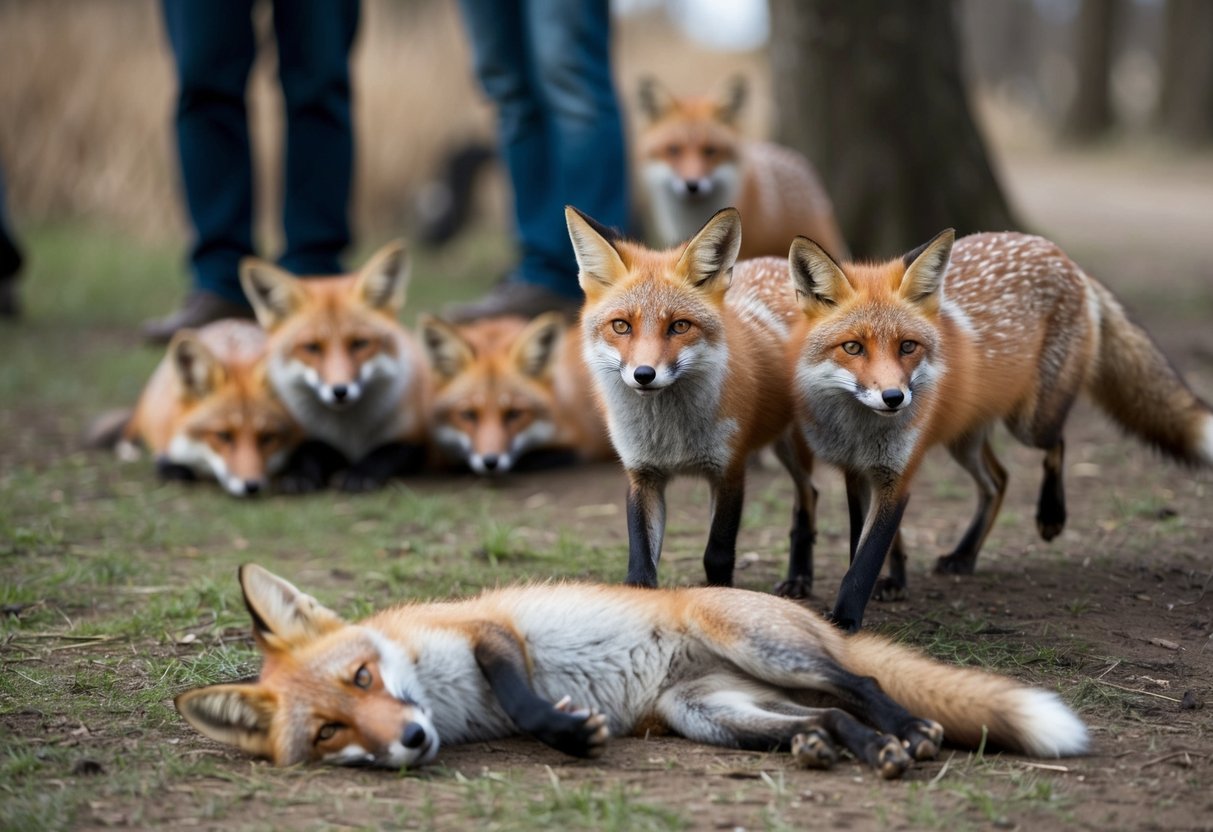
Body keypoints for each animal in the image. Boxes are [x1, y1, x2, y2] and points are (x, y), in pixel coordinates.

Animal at [239, 241, 430, 492]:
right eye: (312, 347)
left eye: (360, 343)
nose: (340, 391)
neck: (350, 435)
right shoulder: (303, 435)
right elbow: (311, 450)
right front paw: (301, 475)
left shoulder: (416, 439)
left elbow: (386, 452)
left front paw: (360, 473)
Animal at [567, 205, 817, 596]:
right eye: (621, 326)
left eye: (679, 326)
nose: (644, 374)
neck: (672, 439)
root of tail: (776, 261)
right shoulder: (642, 475)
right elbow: (640, 568)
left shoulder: (729, 470)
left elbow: (717, 555)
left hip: (797, 446)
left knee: (809, 497)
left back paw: (804, 577)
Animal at [787, 229, 1213, 632]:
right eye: (853, 348)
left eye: (907, 346)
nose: (894, 398)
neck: (862, 431)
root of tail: (1061, 255)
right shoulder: (858, 473)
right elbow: (862, 547)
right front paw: (891, 584)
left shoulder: (898, 472)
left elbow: (865, 561)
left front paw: (845, 620)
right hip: (964, 441)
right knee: (999, 480)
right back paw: (964, 554)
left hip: (1030, 423)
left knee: (1056, 444)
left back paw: (1051, 515)